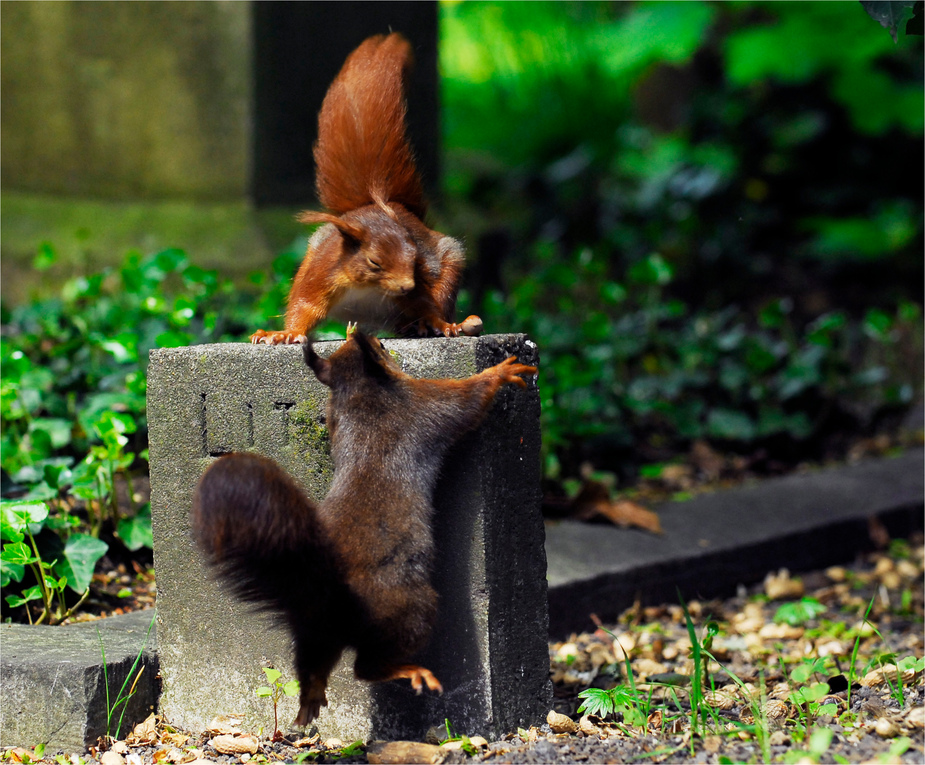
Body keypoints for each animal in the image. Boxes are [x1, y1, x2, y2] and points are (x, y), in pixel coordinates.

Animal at [192, 328, 536, 724]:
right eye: (382, 347)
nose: (377, 340)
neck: (360, 393)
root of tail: (330, 596)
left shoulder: (338, 414)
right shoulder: (424, 404)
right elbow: (466, 399)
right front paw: (502, 371)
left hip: (311, 633)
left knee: (314, 664)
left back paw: (309, 700)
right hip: (409, 611)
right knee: (366, 668)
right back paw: (405, 671)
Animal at [251, 32, 484, 344]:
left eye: (415, 259)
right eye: (374, 262)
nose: (405, 286)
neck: (367, 288)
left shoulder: (419, 285)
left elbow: (427, 305)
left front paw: (442, 324)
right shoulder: (322, 274)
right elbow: (305, 305)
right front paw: (284, 333)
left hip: (449, 263)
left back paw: (435, 326)